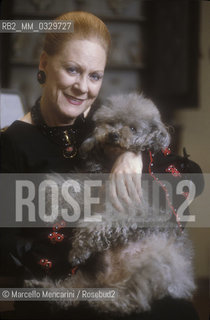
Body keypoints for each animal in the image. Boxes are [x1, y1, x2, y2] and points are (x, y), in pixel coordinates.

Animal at [25, 92, 196, 316]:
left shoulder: (132, 211)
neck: (111, 162)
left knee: (129, 298)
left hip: (154, 265)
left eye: (133, 128)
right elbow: (62, 185)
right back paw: (39, 288)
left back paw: (104, 301)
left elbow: (95, 225)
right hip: (86, 281)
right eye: (111, 122)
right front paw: (49, 204)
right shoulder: (92, 188)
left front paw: (78, 250)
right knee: (71, 292)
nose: (113, 135)